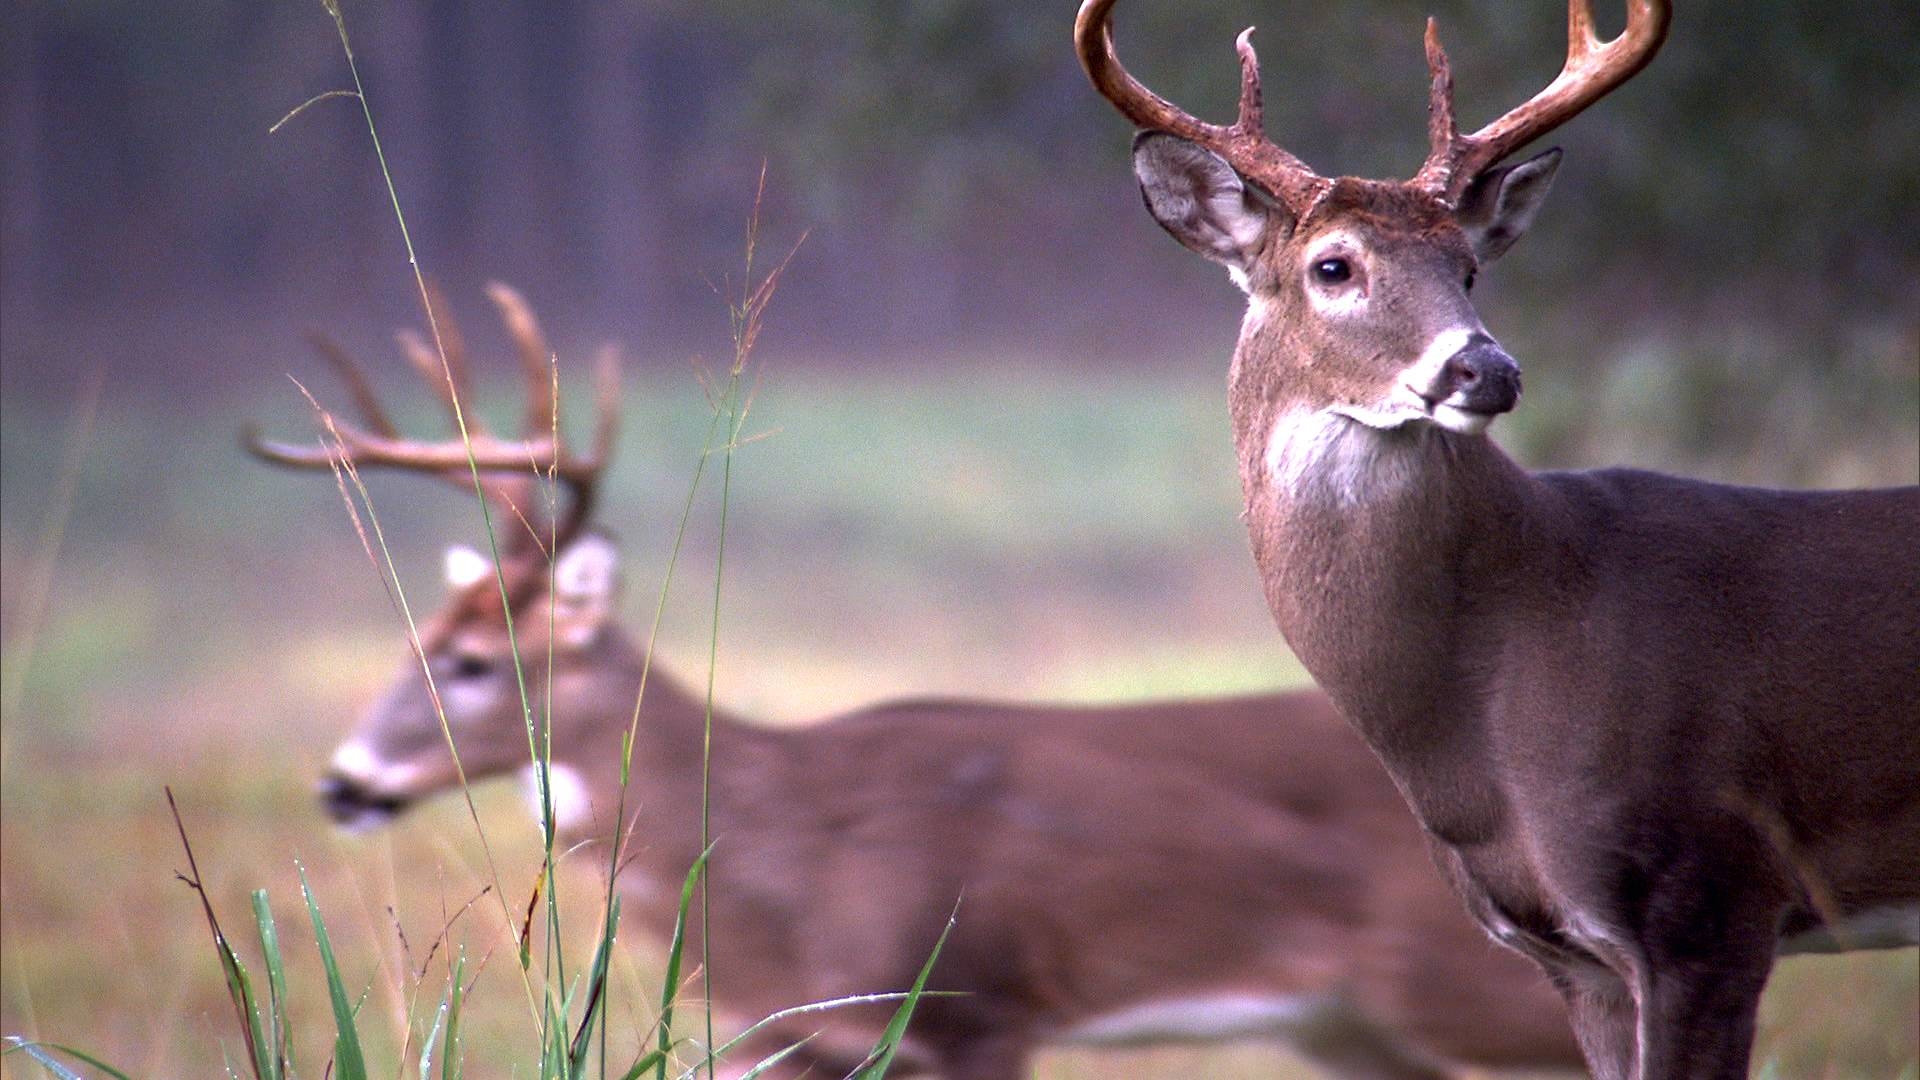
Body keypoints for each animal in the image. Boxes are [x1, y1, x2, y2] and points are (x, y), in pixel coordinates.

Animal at [247, 284, 1582, 1076]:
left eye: (472, 663)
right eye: (408, 643)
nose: (340, 782)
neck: (768, 856)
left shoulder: (975, 1001)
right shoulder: (790, 1040)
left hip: (1470, 986)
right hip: (1353, 1027)